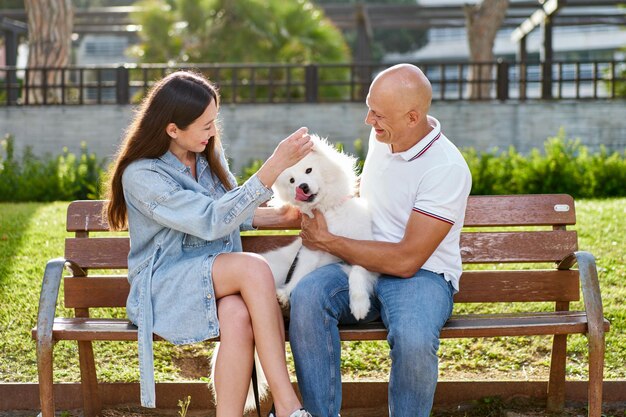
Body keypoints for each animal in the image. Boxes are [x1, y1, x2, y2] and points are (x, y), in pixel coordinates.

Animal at [210, 135, 376, 412]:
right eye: (291, 180)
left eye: (308, 171)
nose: (303, 187)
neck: (328, 213)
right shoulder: (310, 252)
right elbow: (300, 274)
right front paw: (286, 293)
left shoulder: (364, 251)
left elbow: (358, 271)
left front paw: (360, 304)